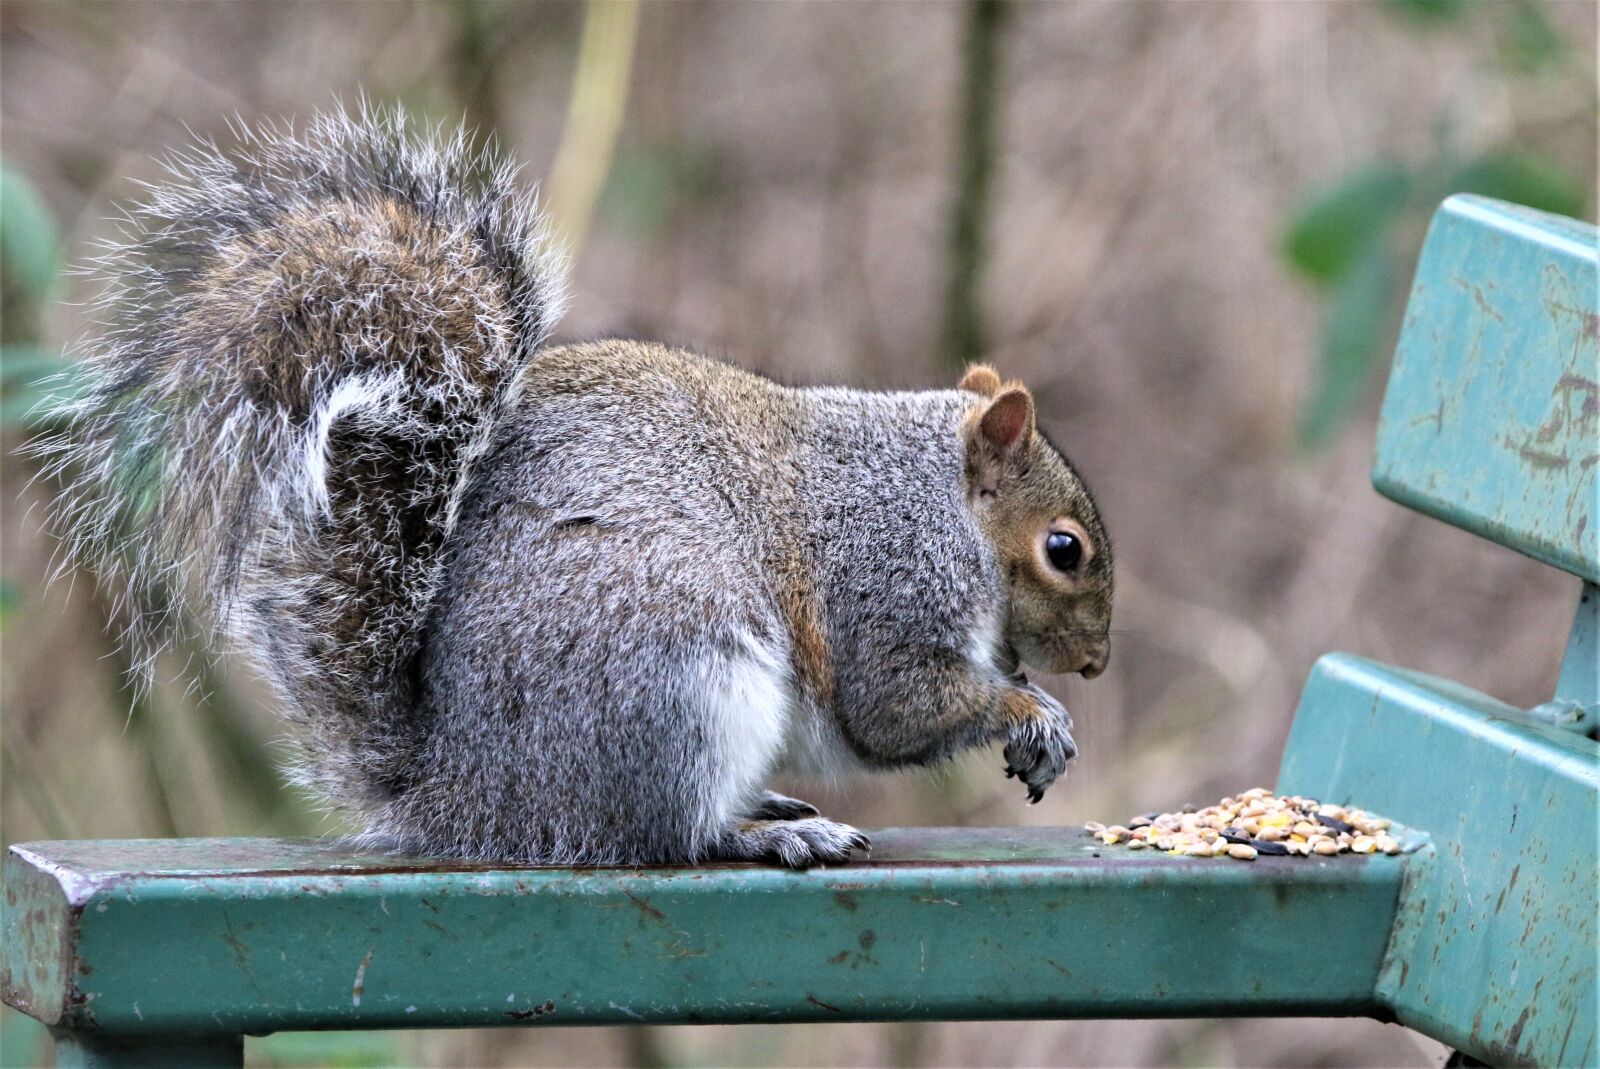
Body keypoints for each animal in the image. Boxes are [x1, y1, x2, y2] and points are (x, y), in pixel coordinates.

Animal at [38, 109, 1113, 868]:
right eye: (1064, 549)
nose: (1097, 665)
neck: (936, 496)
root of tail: (465, 797)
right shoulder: (888, 580)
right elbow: (893, 706)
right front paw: (1031, 713)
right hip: (677, 671)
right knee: (658, 833)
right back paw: (759, 831)